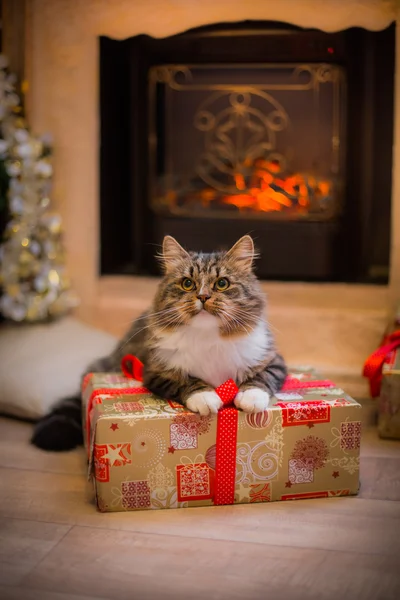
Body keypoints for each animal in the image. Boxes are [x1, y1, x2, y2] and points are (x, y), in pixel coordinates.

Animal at [31, 234, 288, 450]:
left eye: (222, 283)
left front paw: (250, 398)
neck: (207, 336)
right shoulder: (155, 369)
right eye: (187, 283)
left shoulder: (273, 359)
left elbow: (262, 378)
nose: (203, 297)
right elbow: (186, 381)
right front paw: (206, 397)